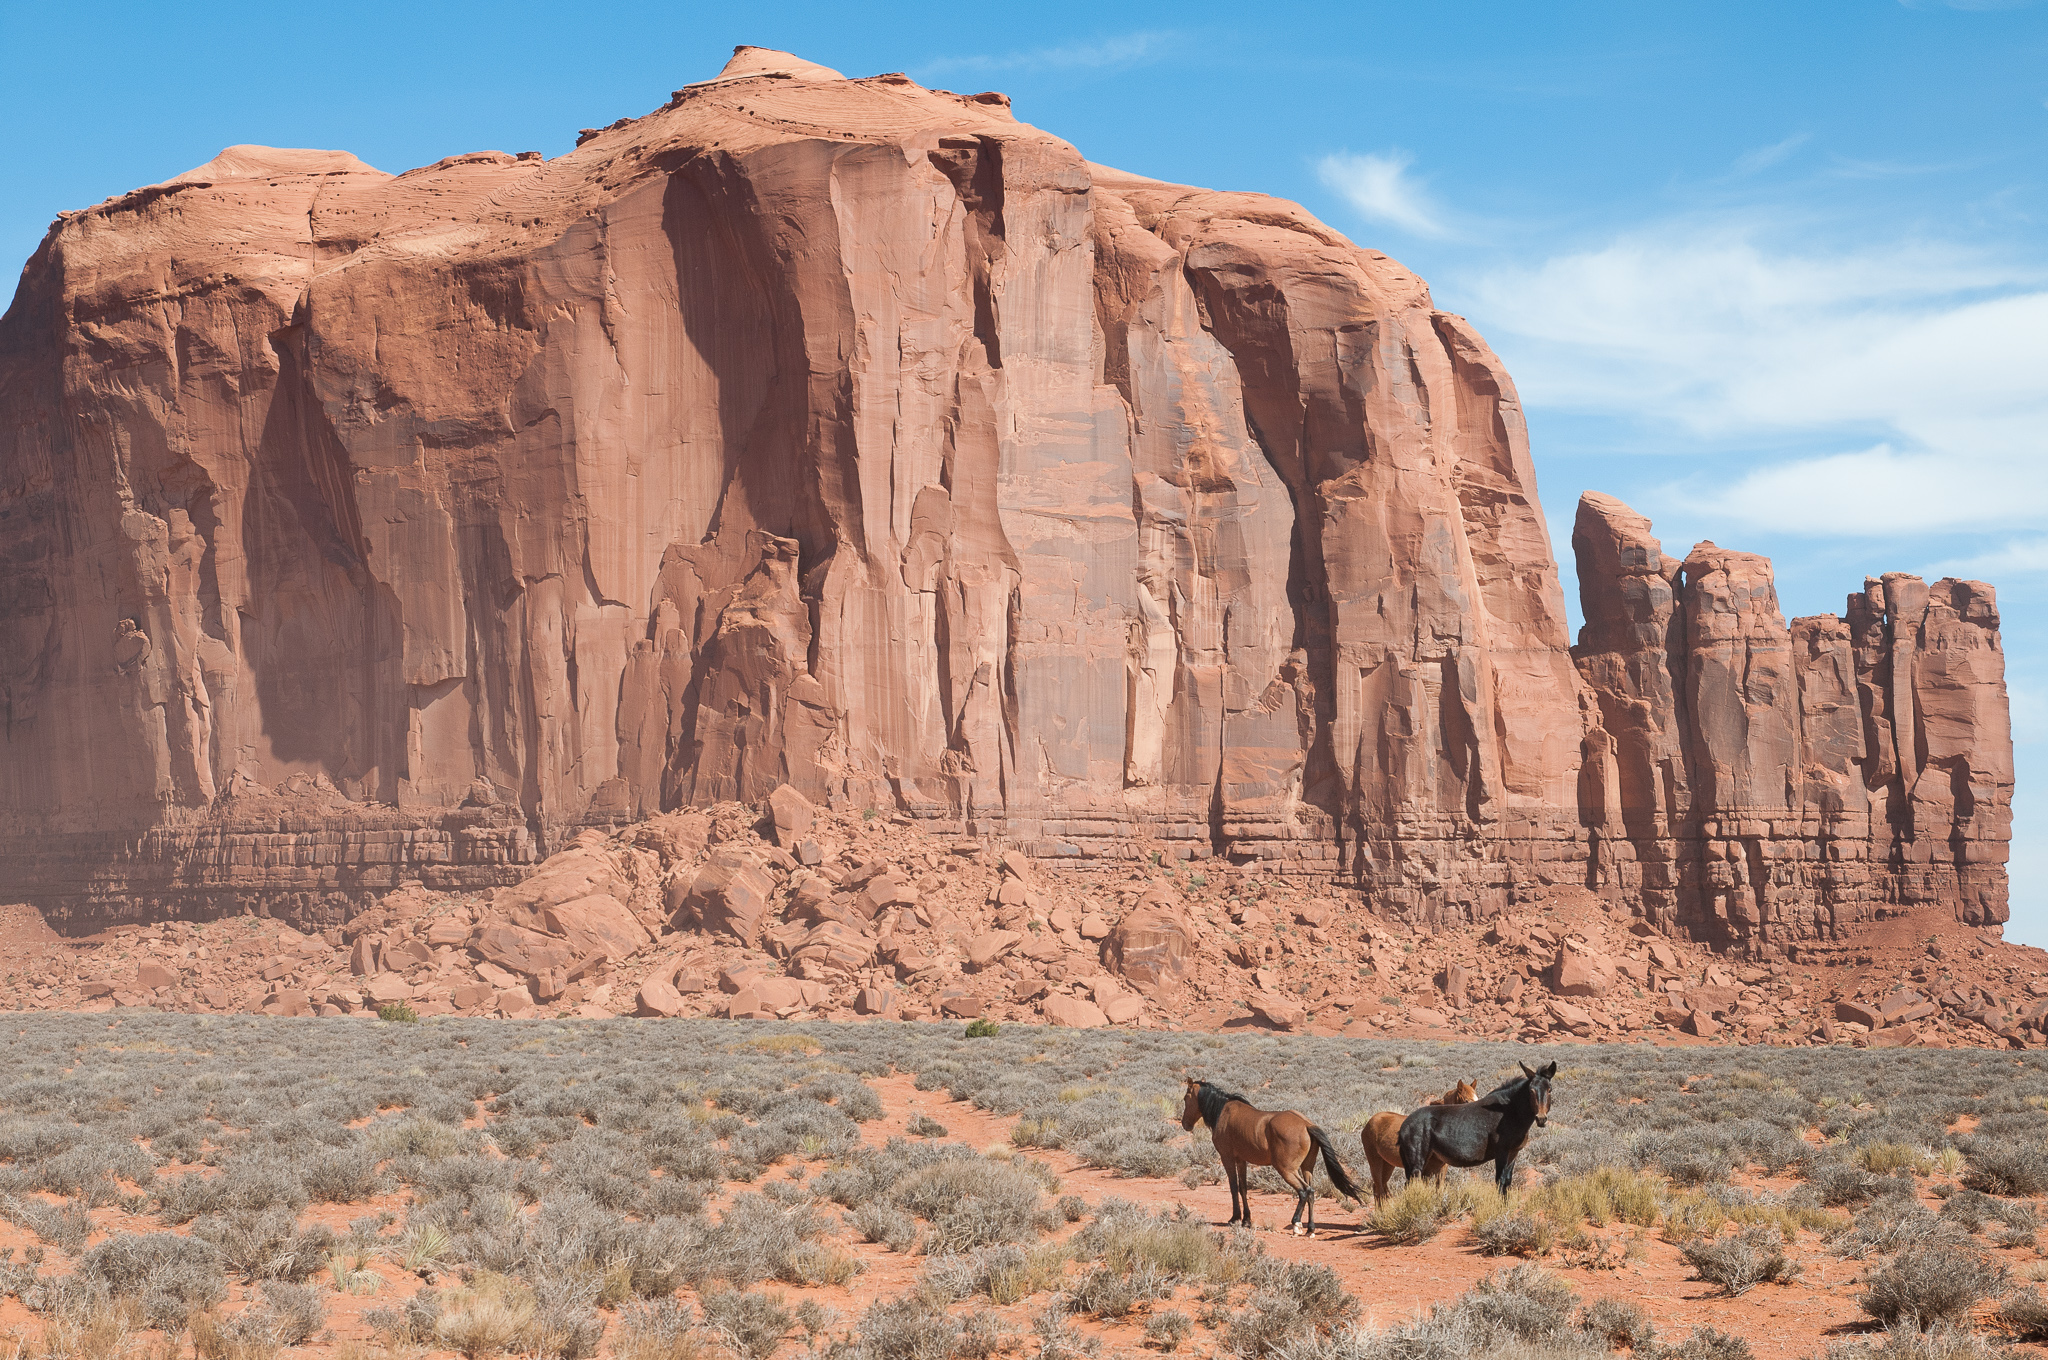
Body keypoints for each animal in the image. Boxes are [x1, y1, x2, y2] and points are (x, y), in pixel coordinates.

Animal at [1187, 1081, 1359, 1237]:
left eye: (1185, 1098)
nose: (1185, 1124)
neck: (1222, 1111)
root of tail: (1306, 1125)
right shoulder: (1241, 1160)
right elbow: (1243, 1188)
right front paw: (1246, 1220)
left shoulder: (1227, 1158)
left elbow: (1233, 1187)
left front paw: (1235, 1218)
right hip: (1306, 1168)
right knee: (1311, 1192)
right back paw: (1310, 1229)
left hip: (1286, 1169)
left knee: (1305, 1191)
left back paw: (1296, 1224)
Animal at [1359, 1073, 1474, 1204]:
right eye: (1466, 1100)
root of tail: (1370, 1122)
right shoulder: (1425, 1170)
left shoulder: (1441, 1168)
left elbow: (1439, 1190)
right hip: (1375, 1161)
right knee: (1379, 1189)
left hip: (1388, 1164)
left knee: (1380, 1187)